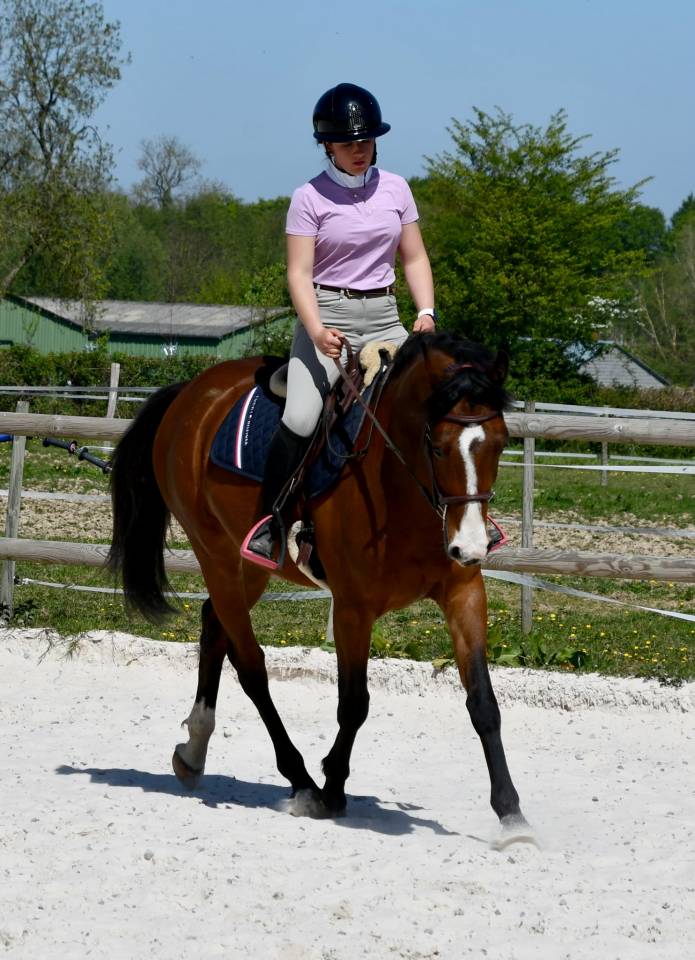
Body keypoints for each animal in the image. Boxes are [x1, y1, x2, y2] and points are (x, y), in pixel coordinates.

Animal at [108, 330, 532, 845]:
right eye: (437, 446)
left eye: (501, 444)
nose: (470, 546)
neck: (399, 489)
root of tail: (193, 390)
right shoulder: (352, 608)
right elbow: (354, 704)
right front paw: (333, 787)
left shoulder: (464, 594)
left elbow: (483, 703)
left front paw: (511, 814)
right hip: (217, 556)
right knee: (251, 667)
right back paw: (302, 782)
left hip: (249, 568)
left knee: (213, 626)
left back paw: (193, 752)